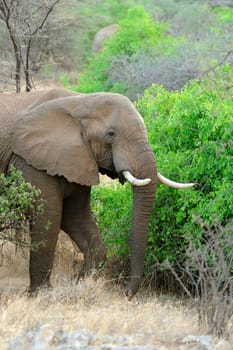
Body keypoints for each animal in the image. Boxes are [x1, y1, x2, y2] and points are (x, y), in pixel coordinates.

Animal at [0, 87, 194, 298]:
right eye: (111, 134)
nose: (126, 293)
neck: (79, 101)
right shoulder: (30, 161)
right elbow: (47, 217)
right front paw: (41, 294)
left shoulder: (79, 160)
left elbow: (75, 218)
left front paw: (79, 283)